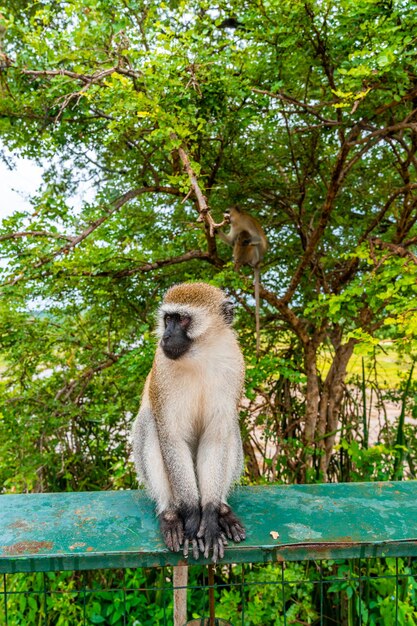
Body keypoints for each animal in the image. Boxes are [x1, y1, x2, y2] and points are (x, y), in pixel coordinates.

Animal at [132, 282, 245, 560]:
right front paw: (193, 519)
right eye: (167, 319)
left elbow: (216, 437)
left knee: (230, 428)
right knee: (150, 422)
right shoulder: (162, 368)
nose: (165, 337)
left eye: (182, 319)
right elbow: (170, 436)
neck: (200, 356)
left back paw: (223, 511)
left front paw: (211, 517)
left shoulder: (234, 365)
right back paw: (171, 514)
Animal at [214, 206, 266, 356]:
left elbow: (257, 239)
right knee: (239, 240)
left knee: (249, 242)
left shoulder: (246, 223)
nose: (225, 214)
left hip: (255, 257)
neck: (237, 221)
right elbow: (231, 241)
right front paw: (215, 229)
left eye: (228, 211)